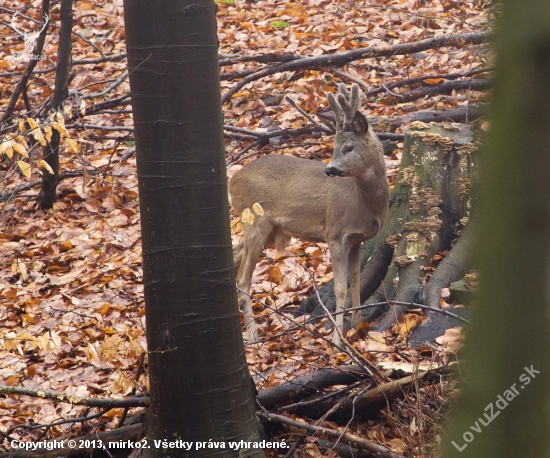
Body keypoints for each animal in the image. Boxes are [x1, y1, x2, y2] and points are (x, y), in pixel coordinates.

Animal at [231, 83, 390, 344]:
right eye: (334, 147)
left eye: (349, 147)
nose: (330, 169)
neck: (362, 204)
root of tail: (231, 181)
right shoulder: (335, 233)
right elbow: (340, 288)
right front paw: (337, 340)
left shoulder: (356, 239)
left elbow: (356, 279)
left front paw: (358, 325)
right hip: (255, 221)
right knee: (243, 279)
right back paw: (253, 337)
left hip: (265, 229)